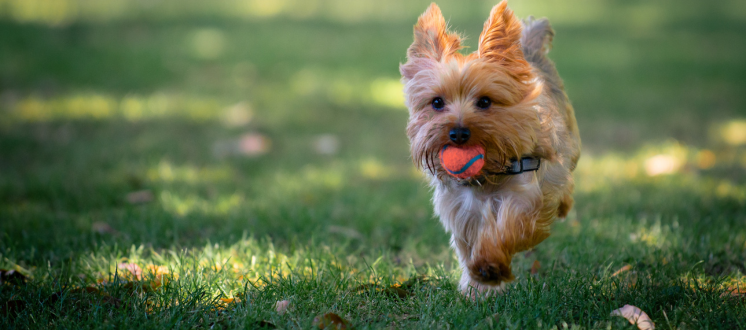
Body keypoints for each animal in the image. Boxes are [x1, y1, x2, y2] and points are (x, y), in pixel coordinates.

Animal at [402, 1, 580, 296]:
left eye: (485, 102)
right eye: (437, 102)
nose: (458, 133)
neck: (487, 174)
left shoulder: (526, 193)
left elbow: (508, 227)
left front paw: (490, 265)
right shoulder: (461, 210)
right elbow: (468, 244)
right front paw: (477, 286)